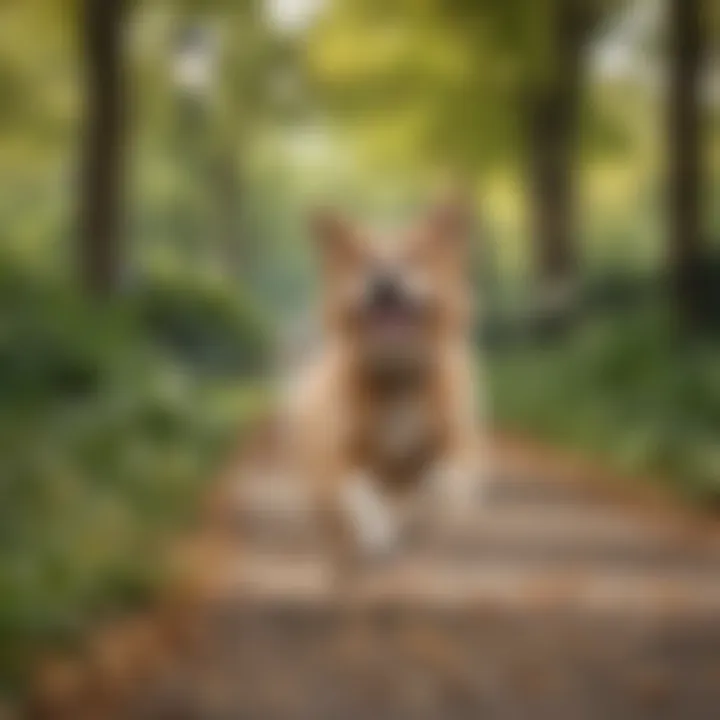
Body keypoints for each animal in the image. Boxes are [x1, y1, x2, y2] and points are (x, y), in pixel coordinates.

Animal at [284, 198, 480, 564]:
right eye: (363, 259)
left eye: (415, 255)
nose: (384, 278)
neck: (396, 377)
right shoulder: (332, 457)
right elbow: (359, 490)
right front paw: (379, 529)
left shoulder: (462, 445)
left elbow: (441, 481)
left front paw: (421, 509)